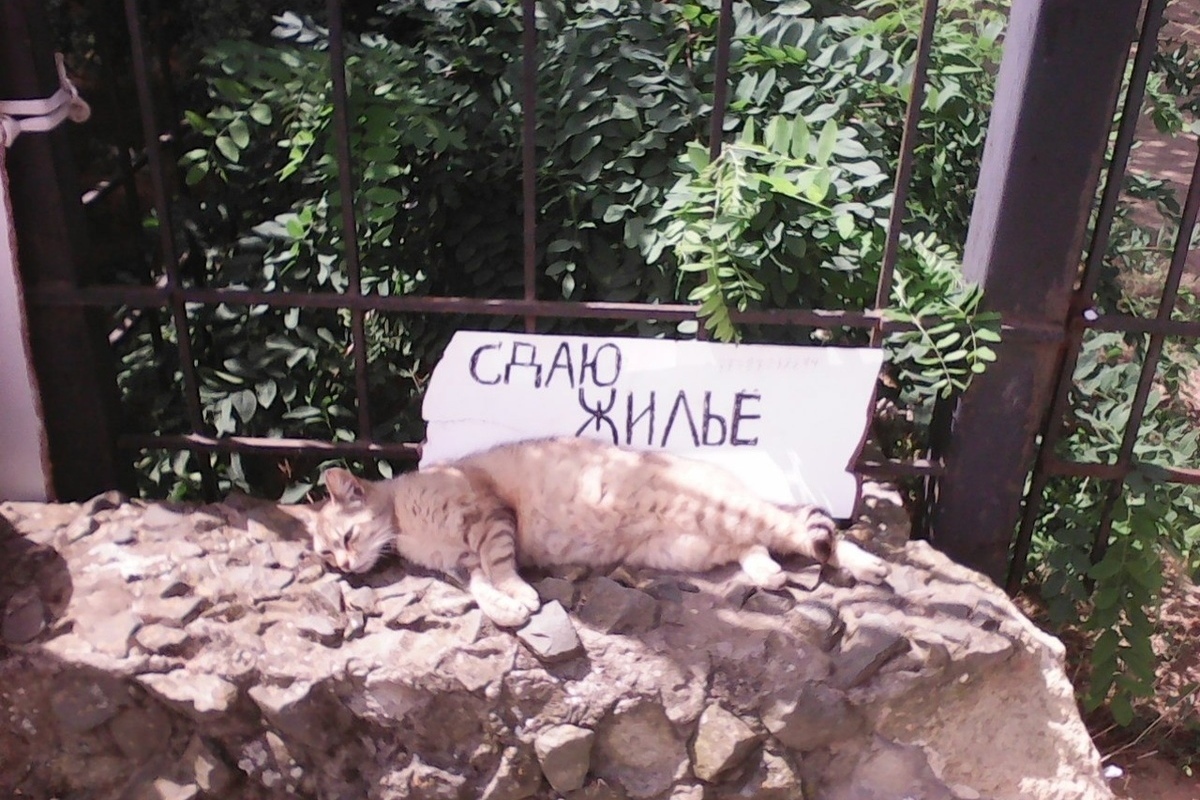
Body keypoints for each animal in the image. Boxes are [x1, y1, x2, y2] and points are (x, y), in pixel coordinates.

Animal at [309, 436, 889, 627]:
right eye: (327, 556)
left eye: (345, 540)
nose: (344, 568)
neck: (405, 521)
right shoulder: (461, 563)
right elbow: (480, 591)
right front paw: (505, 609)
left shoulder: (489, 520)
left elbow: (500, 568)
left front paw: (519, 595)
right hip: (690, 545)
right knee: (756, 542)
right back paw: (768, 575)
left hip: (716, 513)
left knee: (801, 526)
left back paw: (868, 565)